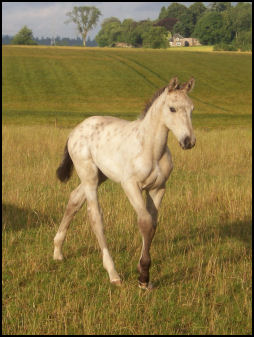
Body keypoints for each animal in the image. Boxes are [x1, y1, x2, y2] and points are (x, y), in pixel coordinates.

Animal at [53, 77, 196, 288]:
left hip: (100, 175)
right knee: (95, 216)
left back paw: (57, 251)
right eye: (172, 108)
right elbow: (145, 222)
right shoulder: (130, 185)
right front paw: (143, 275)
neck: (150, 149)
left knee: (74, 200)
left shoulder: (158, 188)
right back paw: (113, 273)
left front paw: (144, 276)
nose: (189, 141)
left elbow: (153, 225)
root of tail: (75, 130)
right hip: (89, 176)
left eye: (192, 108)